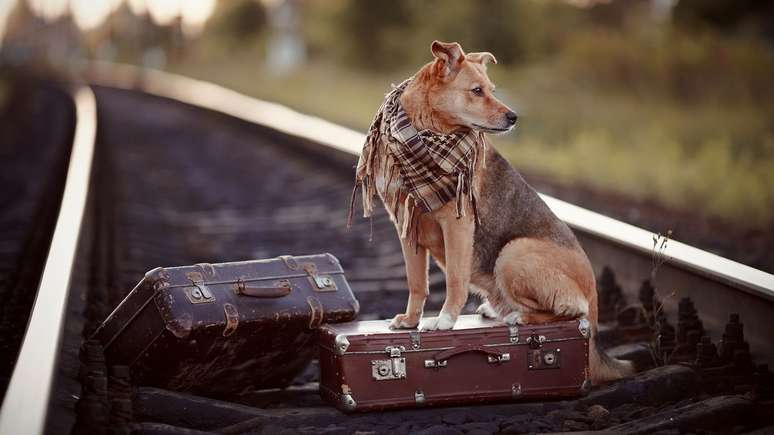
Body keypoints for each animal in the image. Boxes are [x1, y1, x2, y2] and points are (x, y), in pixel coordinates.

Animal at [352, 40, 636, 382]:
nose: (514, 117)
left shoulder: (457, 223)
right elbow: (416, 282)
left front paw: (444, 321)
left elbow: (455, 280)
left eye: (492, 89)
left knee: (570, 310)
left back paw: (518, 317)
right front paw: (410, 321)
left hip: (513, 253)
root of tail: (594, 306)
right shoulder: (407, 224)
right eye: (476, 90)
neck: (425, 136)